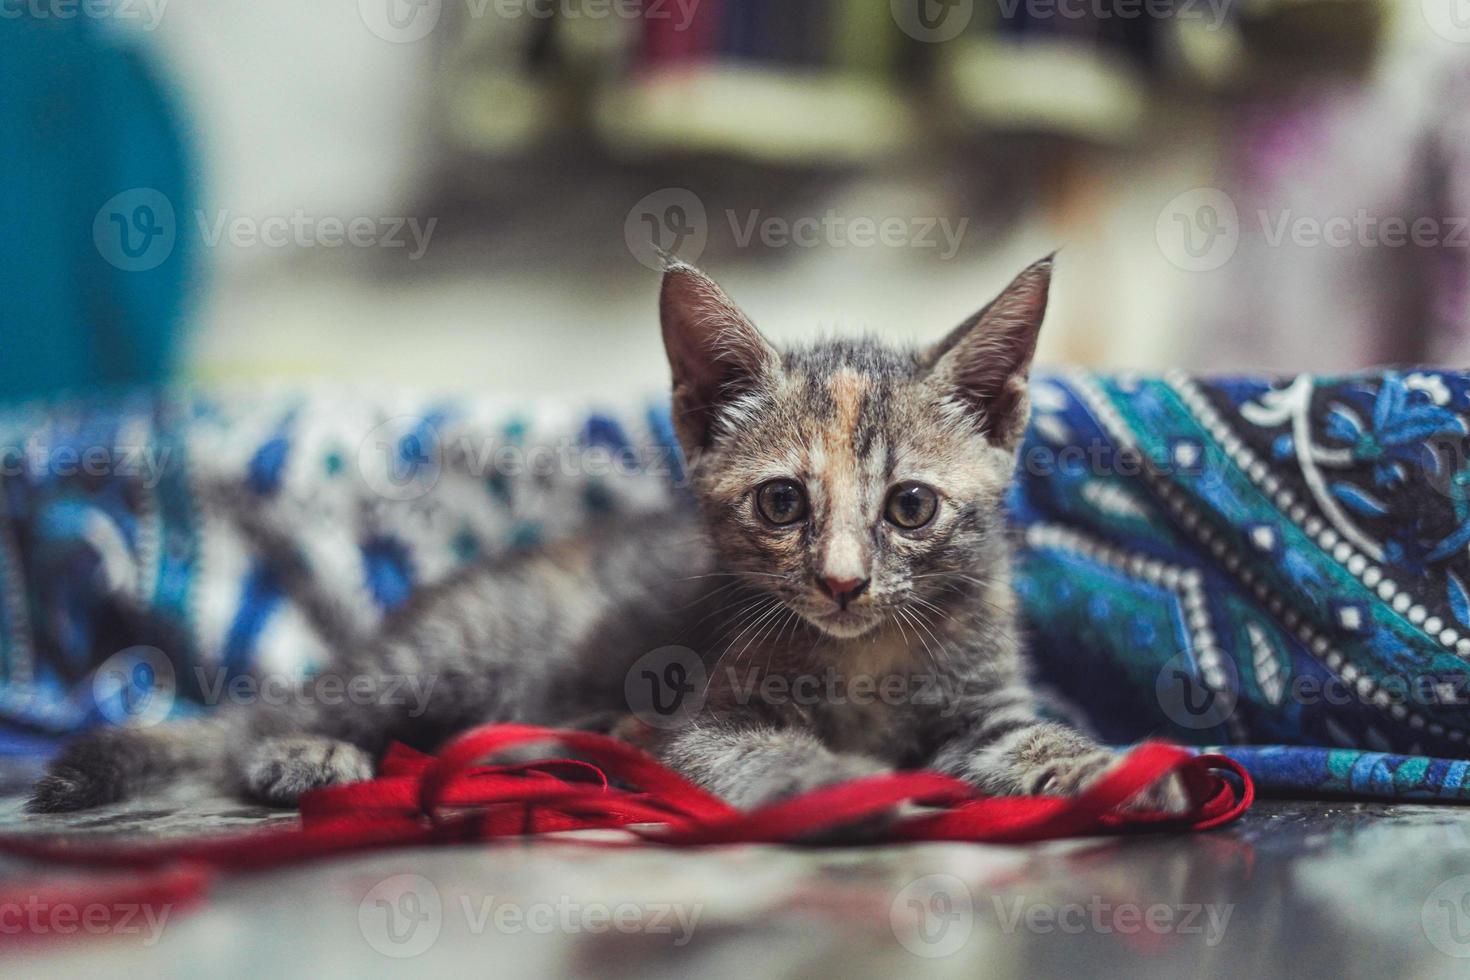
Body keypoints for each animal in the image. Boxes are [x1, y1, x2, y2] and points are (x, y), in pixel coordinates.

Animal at [28, 257, 1181, 816]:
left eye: (909, 508)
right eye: (783, 505)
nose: (844, 582)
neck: (862, 660)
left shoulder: (982, 708)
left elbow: (1030, 738)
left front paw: (1120, 770)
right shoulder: (692, 713)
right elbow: (767, 748)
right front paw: (839, 782)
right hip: (455, 647)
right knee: (271, 716)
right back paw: (303, 751)